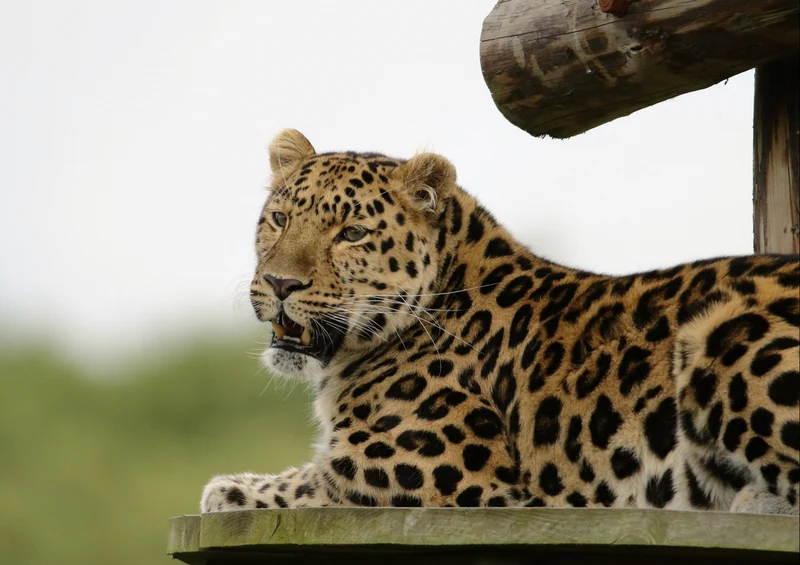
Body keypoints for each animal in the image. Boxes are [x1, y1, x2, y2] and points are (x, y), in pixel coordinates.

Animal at [201, 129, 800, 515]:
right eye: (280, 219)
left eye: (352, 234)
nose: (280, 283)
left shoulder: (434, 469)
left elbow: (312, 482)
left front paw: (229, 490)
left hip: (720, 332)